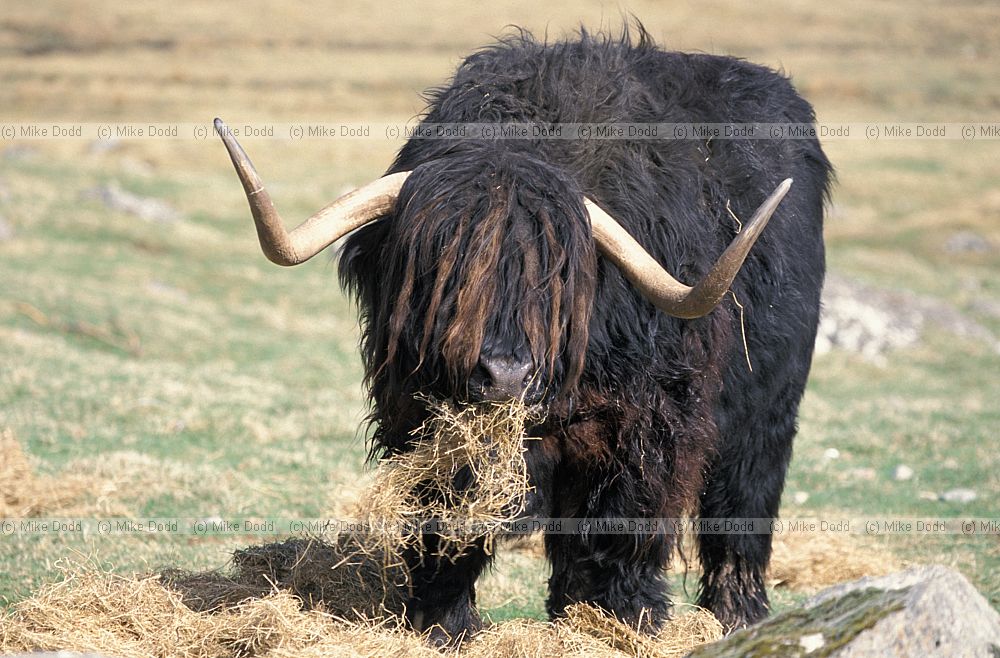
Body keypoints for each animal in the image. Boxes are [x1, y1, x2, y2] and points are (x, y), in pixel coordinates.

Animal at [215, 26, 831, 645]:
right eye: (446, 265)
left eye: (555, 277)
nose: (505, 375)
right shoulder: (419, 418)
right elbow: (450, 523)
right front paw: (442, 623)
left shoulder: (649, 424)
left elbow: (623, 529)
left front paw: (622, 623)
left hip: (764, 414)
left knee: (740, 508)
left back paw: (737, 615)